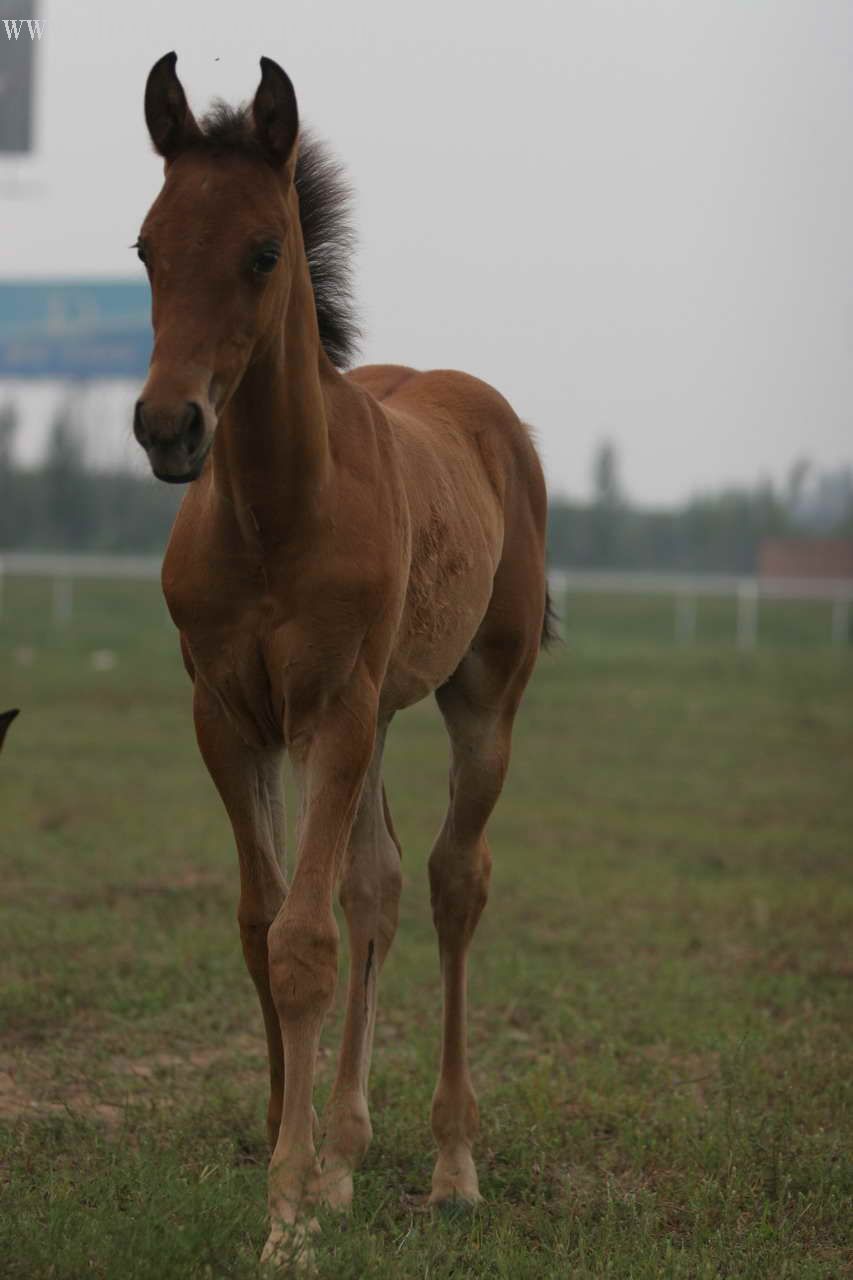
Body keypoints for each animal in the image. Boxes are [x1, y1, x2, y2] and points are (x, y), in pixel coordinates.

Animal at [133, 55, 545, 1264]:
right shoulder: (231, 716)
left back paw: (451, 1165)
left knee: (454, 879)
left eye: (264, 251)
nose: (167, 426)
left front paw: (286, 1218)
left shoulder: (333, 706)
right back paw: (348, 1159)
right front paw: (298, 1158)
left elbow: (304, 941)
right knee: (383, 879)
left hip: (475, 695)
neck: (275, 513)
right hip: (373, 718)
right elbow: (259, 924)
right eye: (147, 247)